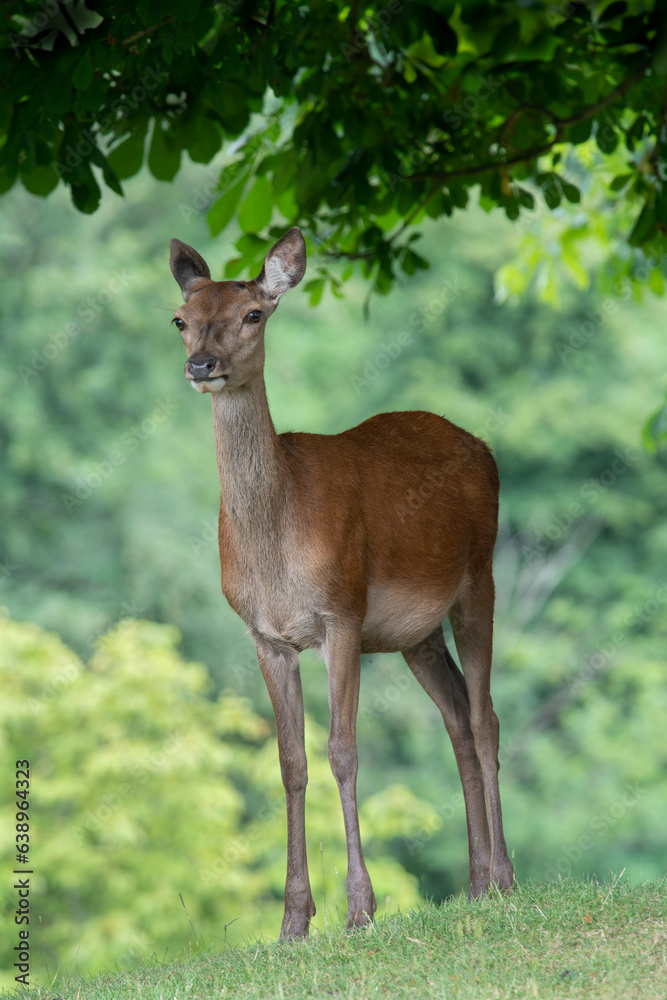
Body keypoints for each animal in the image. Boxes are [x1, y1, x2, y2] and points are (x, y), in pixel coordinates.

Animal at [169, 226, 514, 939]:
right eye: (181, 319)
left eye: (254, 313)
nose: (202, 365)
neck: (275, 551)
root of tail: (485, 449)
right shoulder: (265, 636)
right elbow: (291, 763)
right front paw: (293, 921)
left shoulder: (342, 613)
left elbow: (343, 752)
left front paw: (359, 909)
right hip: (416, 634)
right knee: (457, 718)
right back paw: (473, 887)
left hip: (481, 576)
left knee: (486, 717)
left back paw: (504, 879)